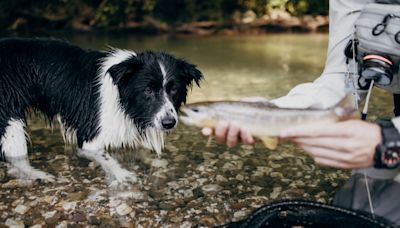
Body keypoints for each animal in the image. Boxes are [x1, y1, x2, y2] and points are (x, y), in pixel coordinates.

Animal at [0, 37, 202, 185]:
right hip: (10, 119)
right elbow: (107, 158)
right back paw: (38, 175)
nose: (169, 123)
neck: (121, 94)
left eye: (174, 89)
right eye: (148, 90)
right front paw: (122, 174)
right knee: (14, 155)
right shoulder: (91, 138)